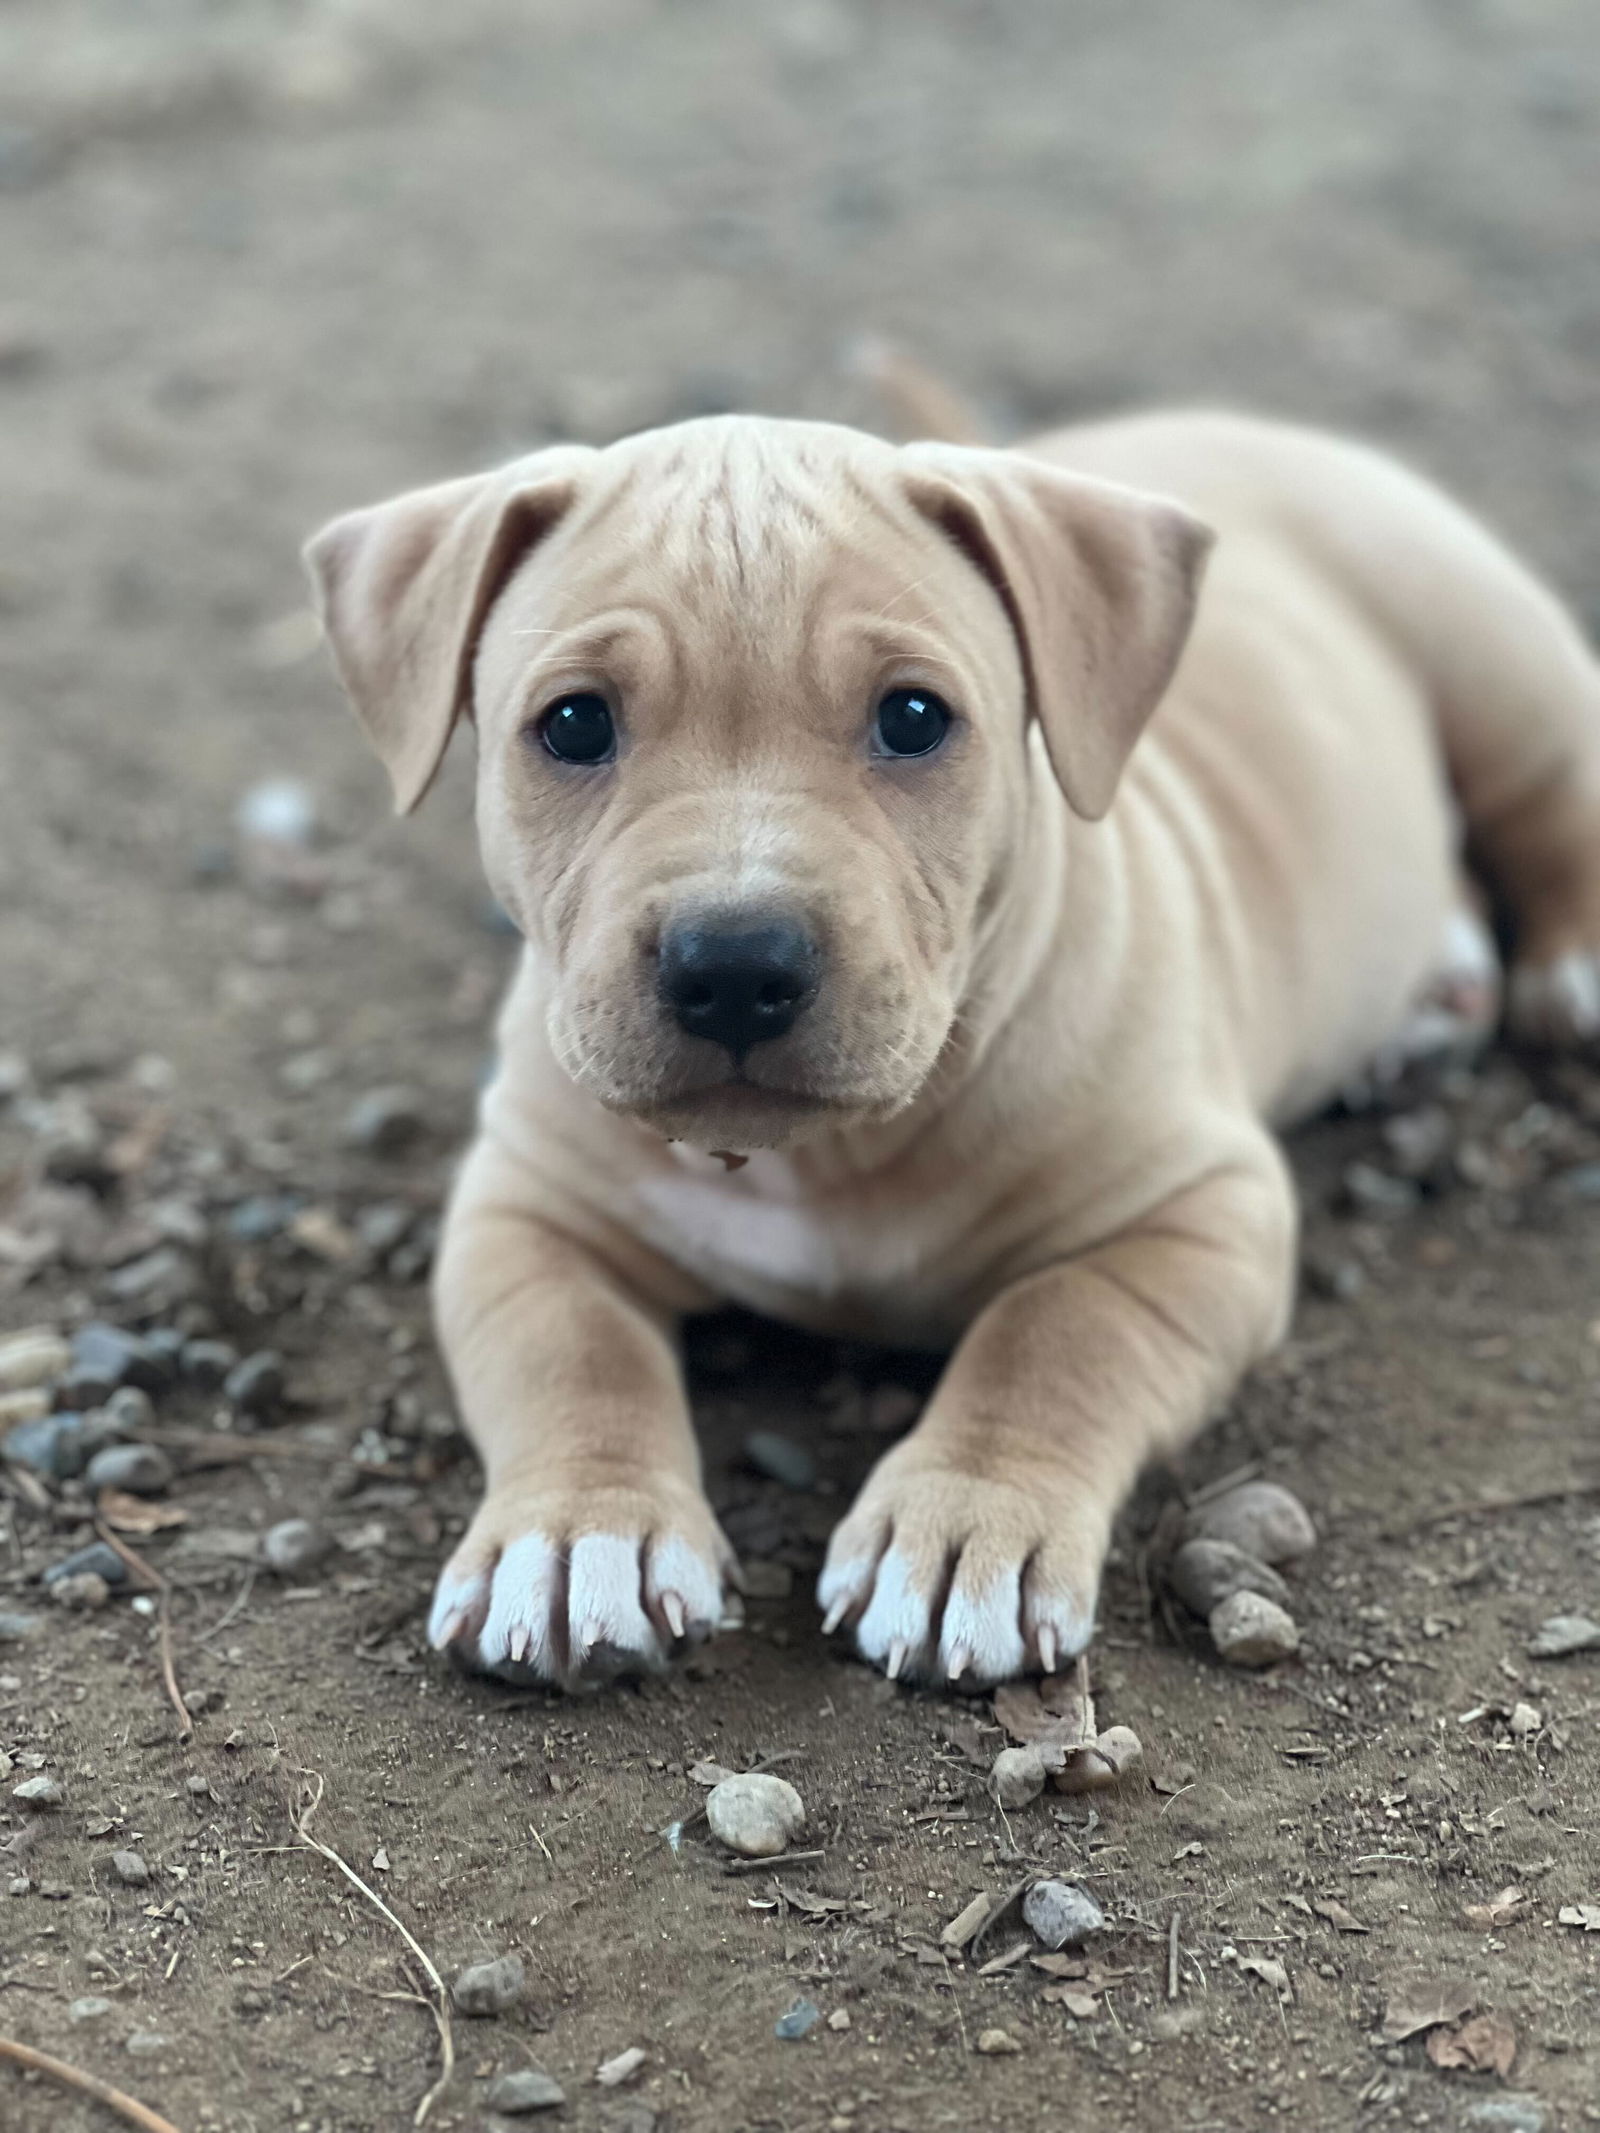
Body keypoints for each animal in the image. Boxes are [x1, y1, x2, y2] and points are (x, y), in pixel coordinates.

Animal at [307, 407, 1600, 1689]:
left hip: (1490, 655)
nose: (734, 965)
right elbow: (571, 1352)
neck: (822, 1157)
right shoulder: (524, 1206)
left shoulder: (1198, 1210)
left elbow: (1055, 1329)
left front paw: (966, 1521)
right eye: (573, 724)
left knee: (1549, 793)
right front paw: (580, 1534)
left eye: (913, 718)